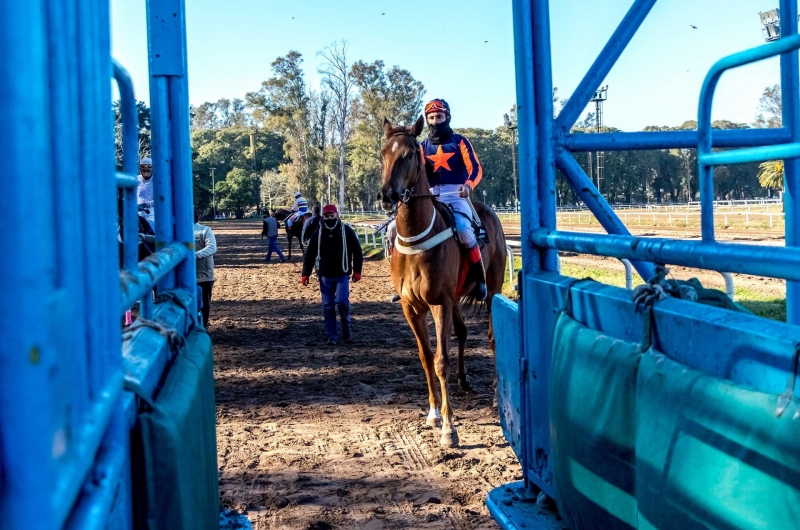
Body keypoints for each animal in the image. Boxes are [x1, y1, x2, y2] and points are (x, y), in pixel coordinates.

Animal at [380, 115, 506, 446]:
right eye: (383, 154)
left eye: (410, 154)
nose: (387, 196)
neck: (416, 239)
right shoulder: (412, 308)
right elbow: (426, 358)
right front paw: (434, 413)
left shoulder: (439, 303)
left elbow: (440, 361)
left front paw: (450, 428)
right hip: (456, 297)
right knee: (462, 332)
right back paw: (464, 381)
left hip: (493, 288)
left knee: (492, 337)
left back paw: (496, 396)